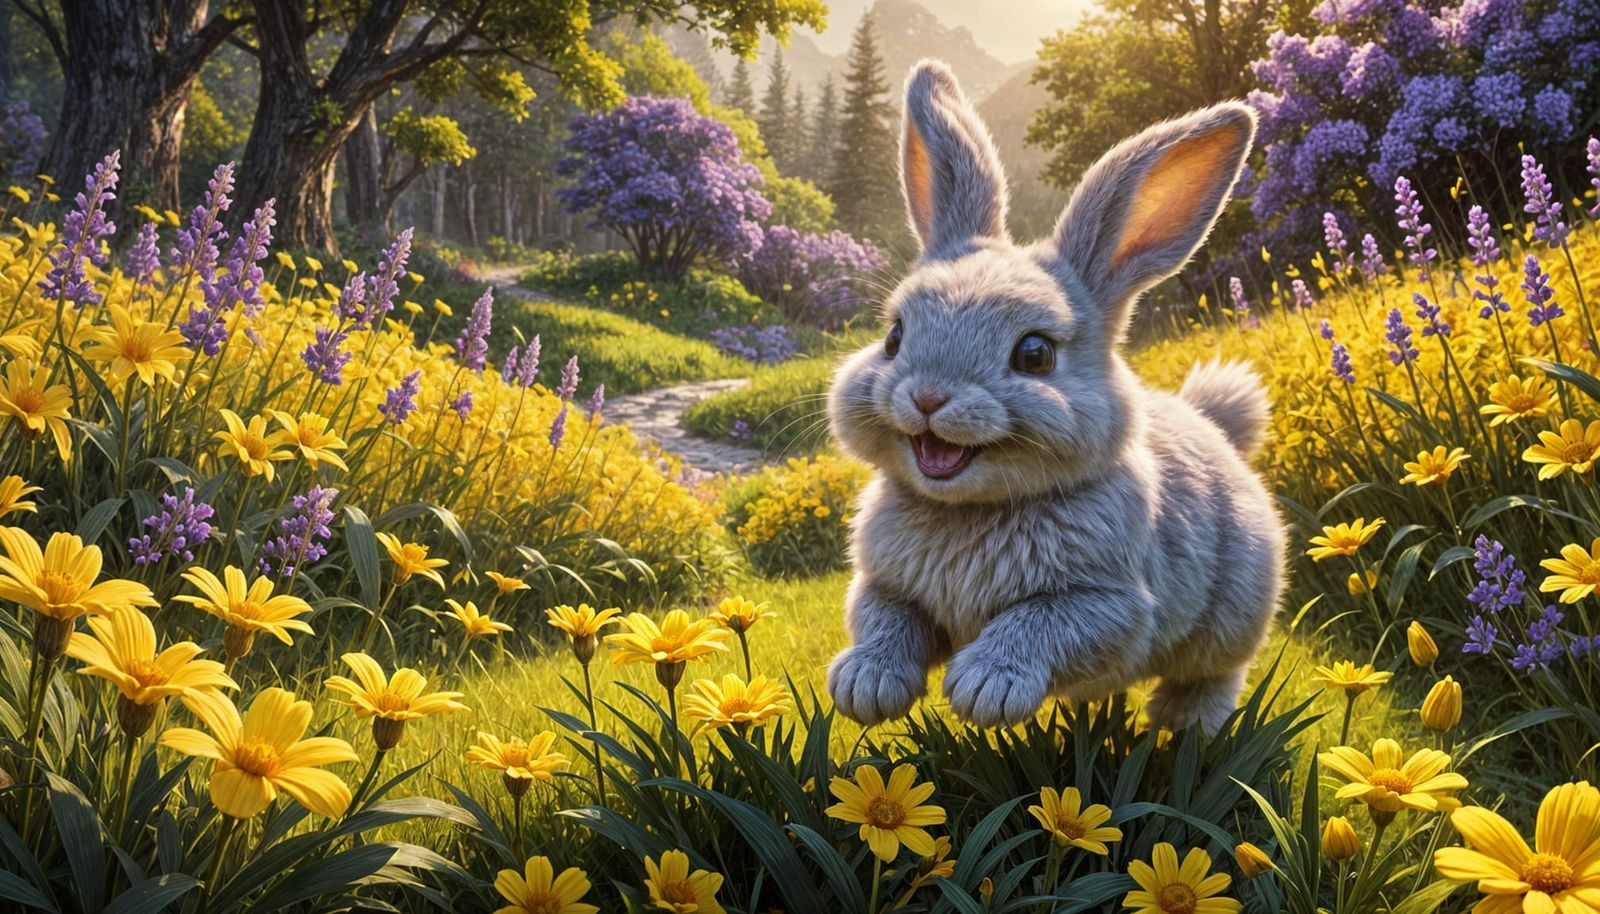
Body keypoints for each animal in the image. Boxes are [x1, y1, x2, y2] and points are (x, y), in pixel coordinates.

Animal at [825, 60, 1285, 735]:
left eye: (1035, 354)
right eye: (894, 337)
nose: (928, 398)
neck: (973, 509)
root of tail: (1214, 426)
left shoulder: (1109, 602)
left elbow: (1040, 623)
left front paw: (984, 689)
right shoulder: (884, 585)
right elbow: (885, 620)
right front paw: (864, 686)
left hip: (1230, 619)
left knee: (1212, 676)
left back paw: (1186, 726)